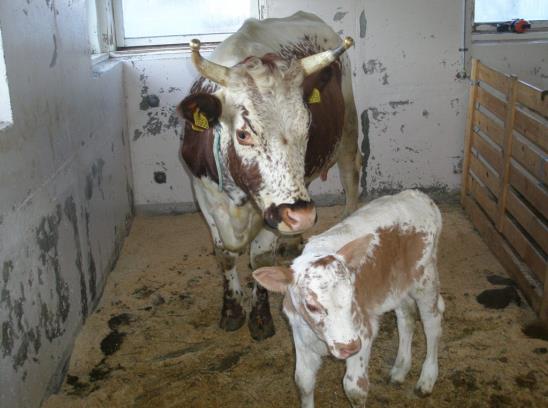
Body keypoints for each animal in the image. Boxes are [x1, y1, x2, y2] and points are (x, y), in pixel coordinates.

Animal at [178, 11, 362, 340]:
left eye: (307, 127)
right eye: (243, 134)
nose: (300, 216)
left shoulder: (272, 210)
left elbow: (260, 259)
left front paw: (260, 317)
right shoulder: (202, 193)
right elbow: (224, 254)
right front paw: (231, 310)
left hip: (348, 131)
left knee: (351, 177)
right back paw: (292, 240)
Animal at [253, 190, 446, 406]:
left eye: (352, 294)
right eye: (311, 306)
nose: (350, 346)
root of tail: (418, 195)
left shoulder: (363, 333)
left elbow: (354, 389)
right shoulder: (301, 336)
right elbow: (303, 381)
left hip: (425, 278)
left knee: (432, 322)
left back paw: (427, 379)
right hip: (395, 286)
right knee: (406, 318)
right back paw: (400, 370)